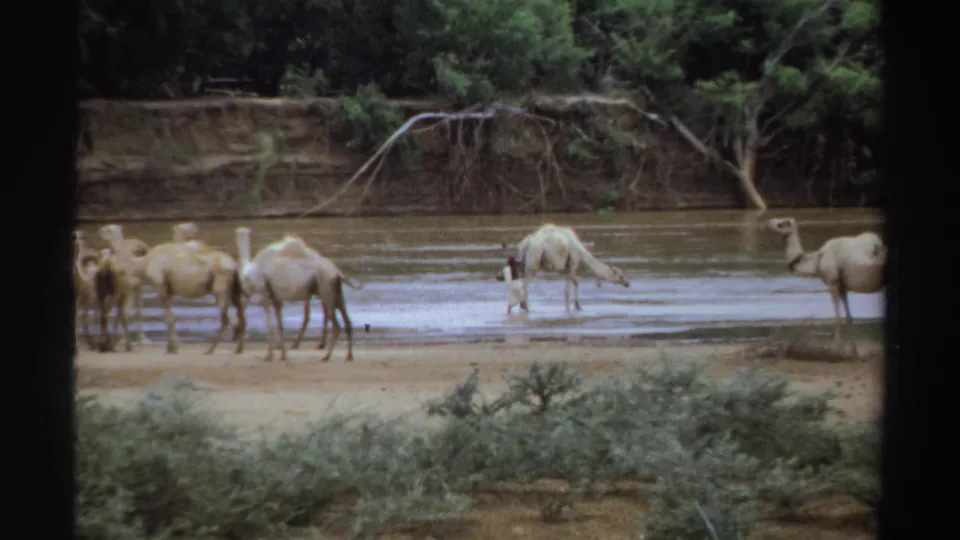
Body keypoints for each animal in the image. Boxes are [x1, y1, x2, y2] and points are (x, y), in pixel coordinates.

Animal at [98, 223, 245, 355]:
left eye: (108, 230)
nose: (99, 231)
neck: (144, 263)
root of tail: (233, 264)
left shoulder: (161, 287)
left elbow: (167, 317)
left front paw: (171, 348)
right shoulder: (168, 291)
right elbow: (171, 316)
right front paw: (173, 347)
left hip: (220, 289)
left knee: (226, 318)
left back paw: (210, 350)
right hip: (233, 290)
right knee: (240, 313)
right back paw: (238, 349)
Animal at [236, 228, 360, 362]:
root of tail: (337, 273)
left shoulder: (265, 293)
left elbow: (270, 324)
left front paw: (269, 356)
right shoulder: (275, 297)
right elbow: (280, 324)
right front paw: (282, 355)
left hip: (326, 290)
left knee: (336, 324)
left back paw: (326, 356)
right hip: (335, 293)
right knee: (347, 322)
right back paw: (349, 355)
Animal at [765, 217, 886, 357]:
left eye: (781, 224)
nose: (767, 223)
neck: (817, 260)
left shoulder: (832, 281)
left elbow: (837, 318)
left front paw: (836, 351)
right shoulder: (842, 285)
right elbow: (848, 317)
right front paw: (854, 352)